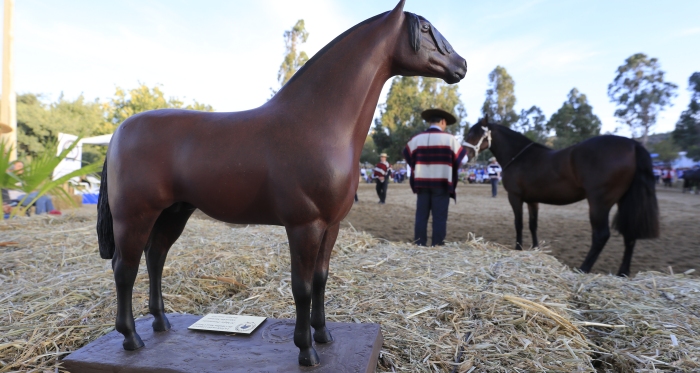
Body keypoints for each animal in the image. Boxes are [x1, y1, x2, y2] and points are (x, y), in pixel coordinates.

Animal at [94, 0, 464, 366]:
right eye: (426, 29)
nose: (461, 65)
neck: (318, 122)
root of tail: (119, 131)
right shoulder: (304, 225)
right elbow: (301, 286)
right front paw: (306, 351)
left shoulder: (331, 226)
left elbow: (320, 279)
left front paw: (323, 334)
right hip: (135, 217)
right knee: (124, 269)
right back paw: (131, 338)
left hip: (174, 213)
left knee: (155, 257)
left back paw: (161, 322)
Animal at [462, 117, 660, 278]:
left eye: (474, 134)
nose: (464, 158)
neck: (519, 157)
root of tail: (633, 145)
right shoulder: (533, 201)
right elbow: (533, 225)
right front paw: (535, 249)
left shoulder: (515, 197)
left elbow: (518, 224)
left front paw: (518, 249)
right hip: (624, 202)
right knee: (630, 235)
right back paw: (622, 273)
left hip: (599, 203)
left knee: (601, 236)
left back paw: (583, 269)